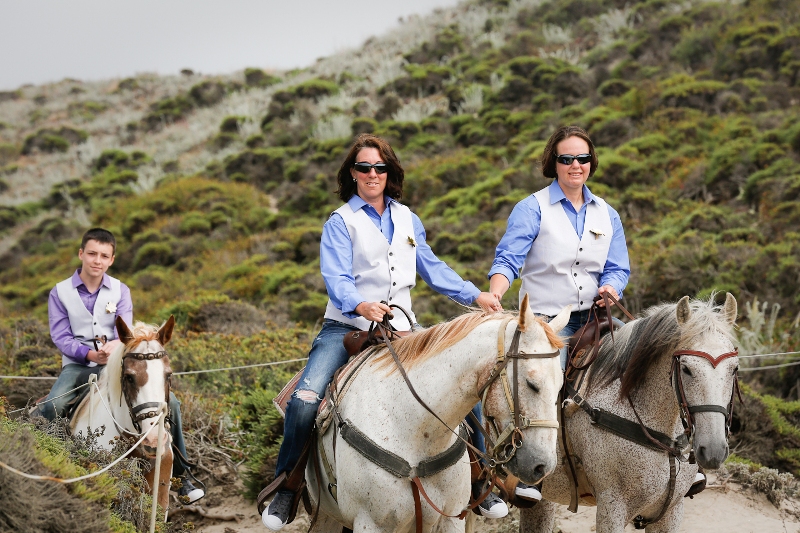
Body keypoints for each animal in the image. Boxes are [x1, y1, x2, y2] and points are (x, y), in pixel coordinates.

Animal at [304, 298, 568, 528]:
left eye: (560, 386)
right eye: (532, 384)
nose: (543, 467)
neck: (413, 429)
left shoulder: (450, 519)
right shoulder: (371, 523)